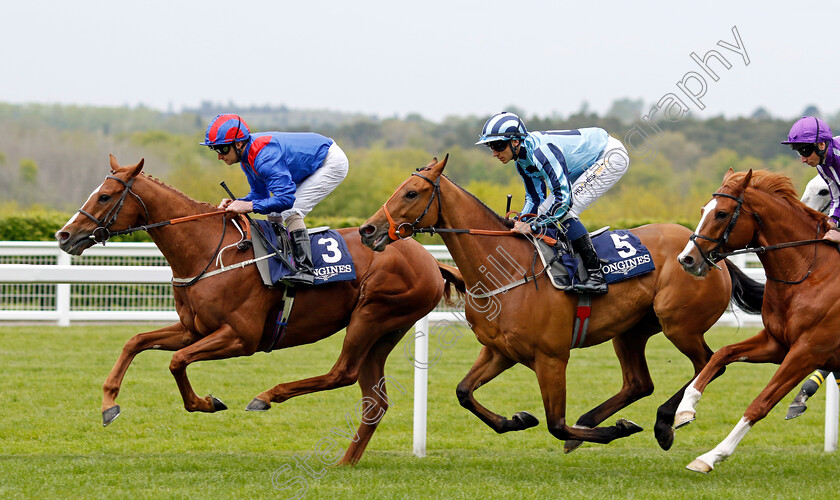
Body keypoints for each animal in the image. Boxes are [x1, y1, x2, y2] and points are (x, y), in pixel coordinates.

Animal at [55, 155, 456, 464]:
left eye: (105, 196)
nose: (63, 235)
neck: (207, 251)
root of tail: (430, 260)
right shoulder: (194, 329)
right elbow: (135, 341)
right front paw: (109, 404)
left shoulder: (240, 337)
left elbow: (177, 361)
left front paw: (206, 402)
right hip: (386, 333)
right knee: (374, 401)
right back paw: (346, 460)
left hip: (372, 315)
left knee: (342, 372)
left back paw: (267, 397)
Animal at [358, 157, 764, 454]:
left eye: (411, 193)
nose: (367, 230)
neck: (505, 270)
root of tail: (708, 252)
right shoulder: (500, 351)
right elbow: (463, 392)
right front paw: (517, 420)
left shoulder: (551, 357)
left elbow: (554, 423)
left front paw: (613, 431)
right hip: (631, 330)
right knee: (639, 383)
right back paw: (595, 422)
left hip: (678, 324)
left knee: (706, 363)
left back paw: (663, 422)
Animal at [672, 167, 840, 472]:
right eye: (704, 209)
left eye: (722, 214)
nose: (686, 259)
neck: (809, 273)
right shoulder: (777, 344)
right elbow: (722, 354)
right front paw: (685, 409)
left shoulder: (807, 353)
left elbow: (760, 403)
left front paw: (711, 456)